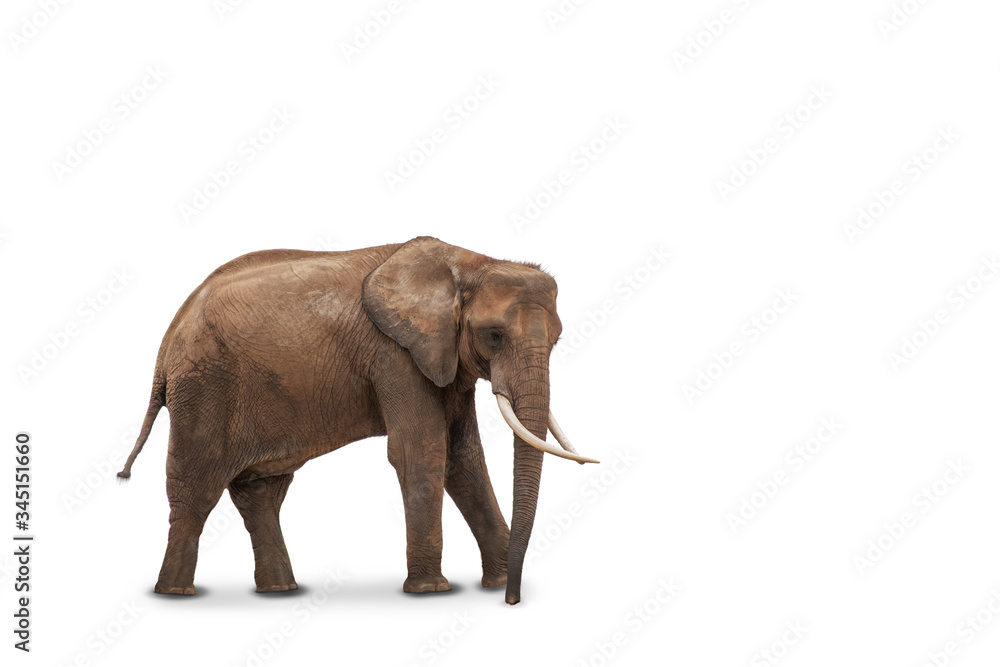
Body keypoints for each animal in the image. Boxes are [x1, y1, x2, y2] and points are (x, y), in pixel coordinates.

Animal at [118, 236, 597, 605]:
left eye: (557, 340)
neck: (467, 263)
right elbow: (421, 452)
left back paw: (280, 590)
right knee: (196, 489)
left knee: (262, 493)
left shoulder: (441, 360)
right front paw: (430, 591)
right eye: (494, 336)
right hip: (204, 387)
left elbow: (465, 460)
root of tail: (170, 334)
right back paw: (176, 594)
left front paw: (493, 584)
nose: (513, 600)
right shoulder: (395, 355)